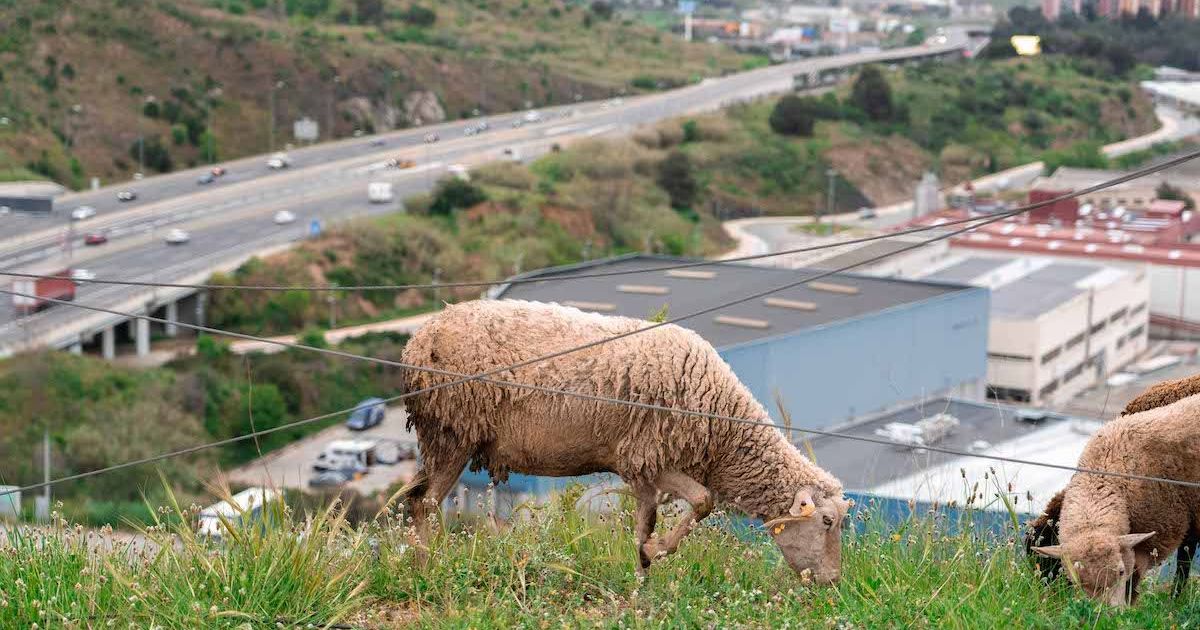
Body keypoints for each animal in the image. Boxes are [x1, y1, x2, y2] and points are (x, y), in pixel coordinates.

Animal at [396, 299, 851, 581]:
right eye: (827, 521)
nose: (832, 581)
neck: (720, 425)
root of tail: (417, 341)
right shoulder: (647, 456)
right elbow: (703, 501)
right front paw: (656, 553)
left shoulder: (643, 472)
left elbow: (643, 526)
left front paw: (642, 576)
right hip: (454, 432)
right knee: (424, 505)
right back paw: (428, 569)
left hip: (439, 438)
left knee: (413, 499)